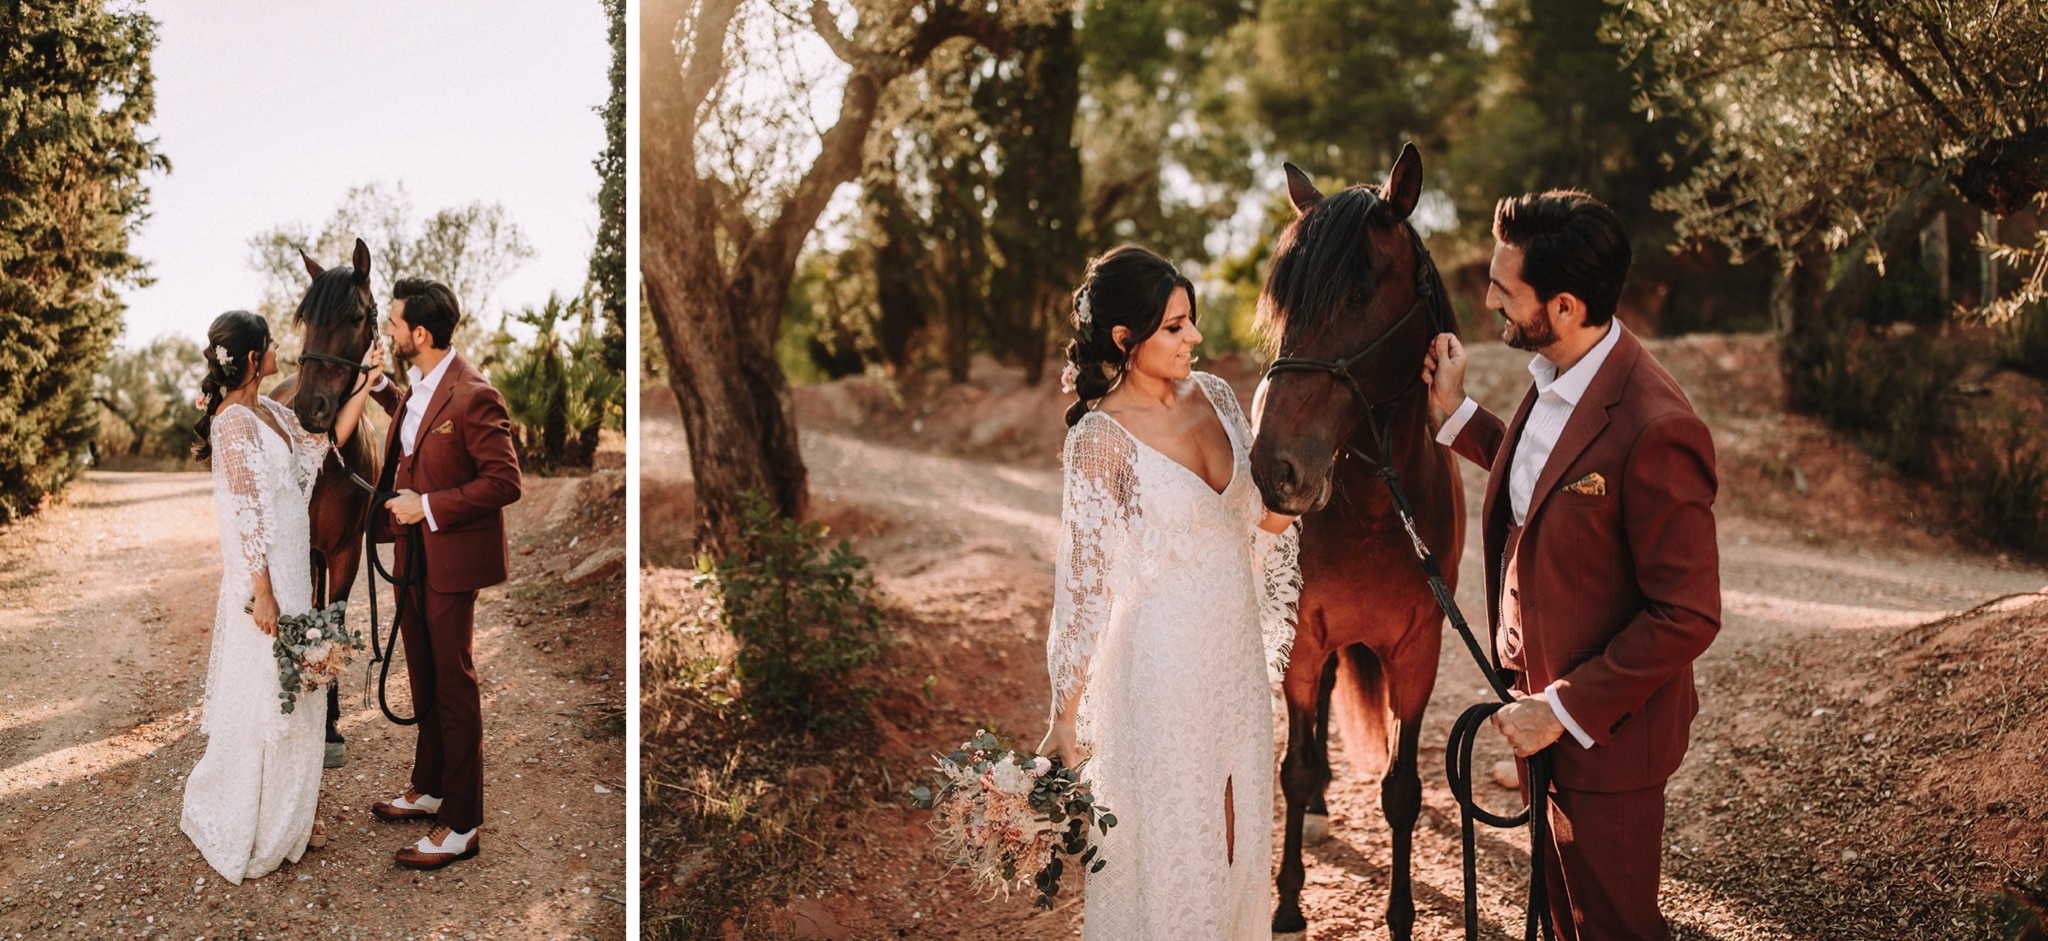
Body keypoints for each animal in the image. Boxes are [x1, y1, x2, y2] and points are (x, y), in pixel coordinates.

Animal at [1245, 143, 1458, 938]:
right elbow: (1295, 766)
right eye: (1285, 303)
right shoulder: (1306, 636)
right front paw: (1286, 904)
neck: (1375, 506)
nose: (1273, 468)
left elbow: (1403, 789)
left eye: (1363, 292)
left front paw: (1400, 916)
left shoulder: (1420, 649)